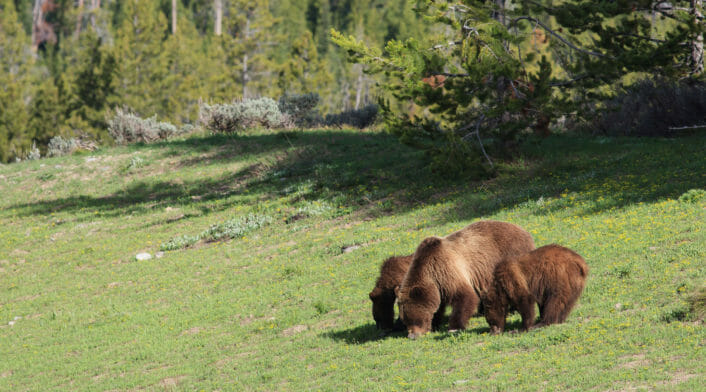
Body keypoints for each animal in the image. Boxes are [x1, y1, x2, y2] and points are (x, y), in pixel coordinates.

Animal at [390, 219, 532, 338]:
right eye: (405, 320)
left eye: (415, 319)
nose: (412, 335)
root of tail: (524, 231)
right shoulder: (438, 286)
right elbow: (438, 306)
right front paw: (435, 323)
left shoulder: (447, 271)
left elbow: (465, 297)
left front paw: (454, 327)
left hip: (510, 253)